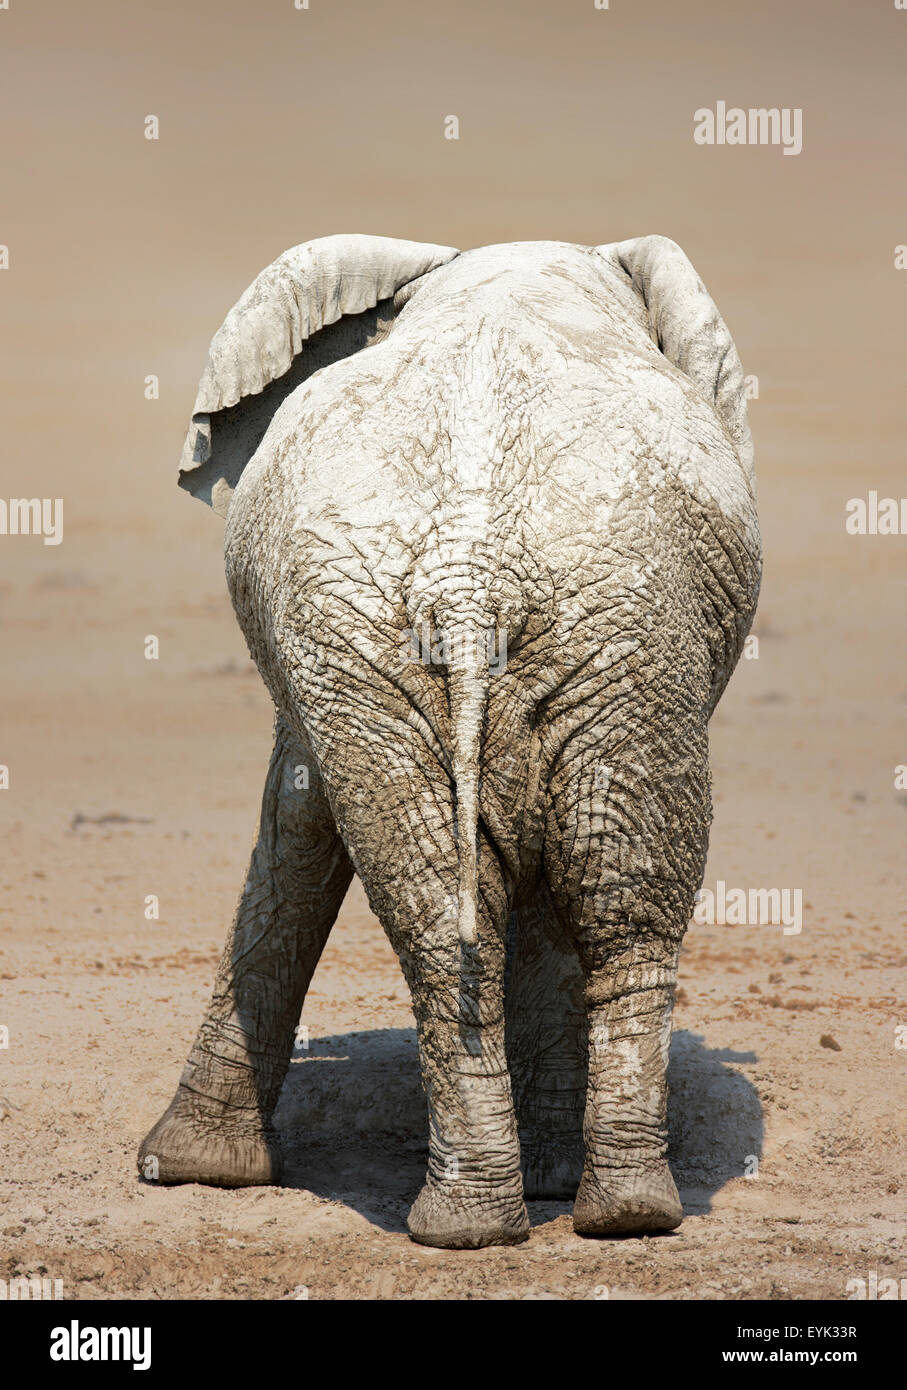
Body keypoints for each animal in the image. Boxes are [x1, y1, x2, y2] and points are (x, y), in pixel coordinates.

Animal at [141, 227, 761, 1251]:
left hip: (613, 628)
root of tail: (470, 573)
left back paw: (549, 1217)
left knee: (564, 892)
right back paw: (559, 1219)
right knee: (569, 895)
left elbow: (300, 817)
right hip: (554, 628)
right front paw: (194, 1171)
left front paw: (185, 1171)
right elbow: (303, 818)